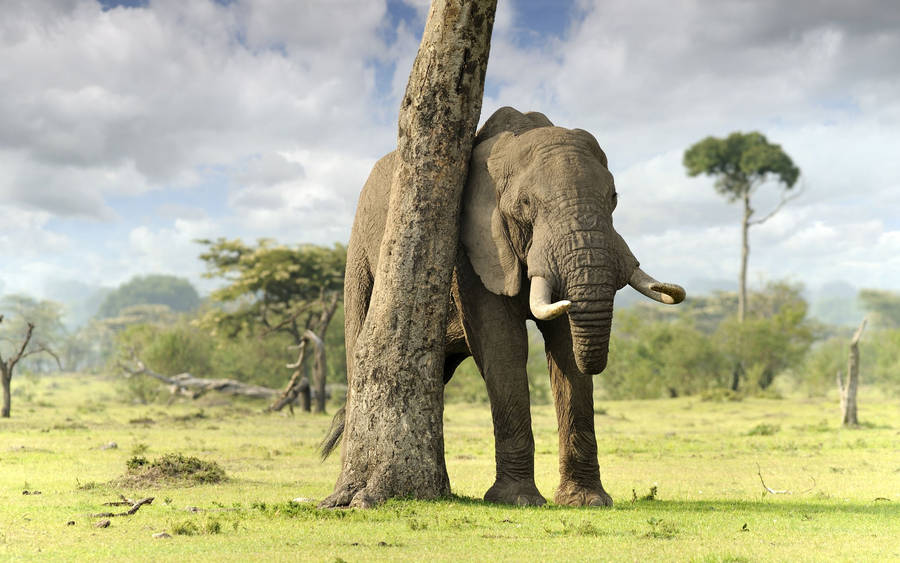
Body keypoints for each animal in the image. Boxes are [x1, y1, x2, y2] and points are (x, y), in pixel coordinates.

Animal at [326, 106, 685, 507]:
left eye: (614, 197)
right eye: (526, 205)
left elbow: (564, 347)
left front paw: (586, 501)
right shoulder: (470, 247)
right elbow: (504, 344)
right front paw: (517, 500)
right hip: (359, 255)